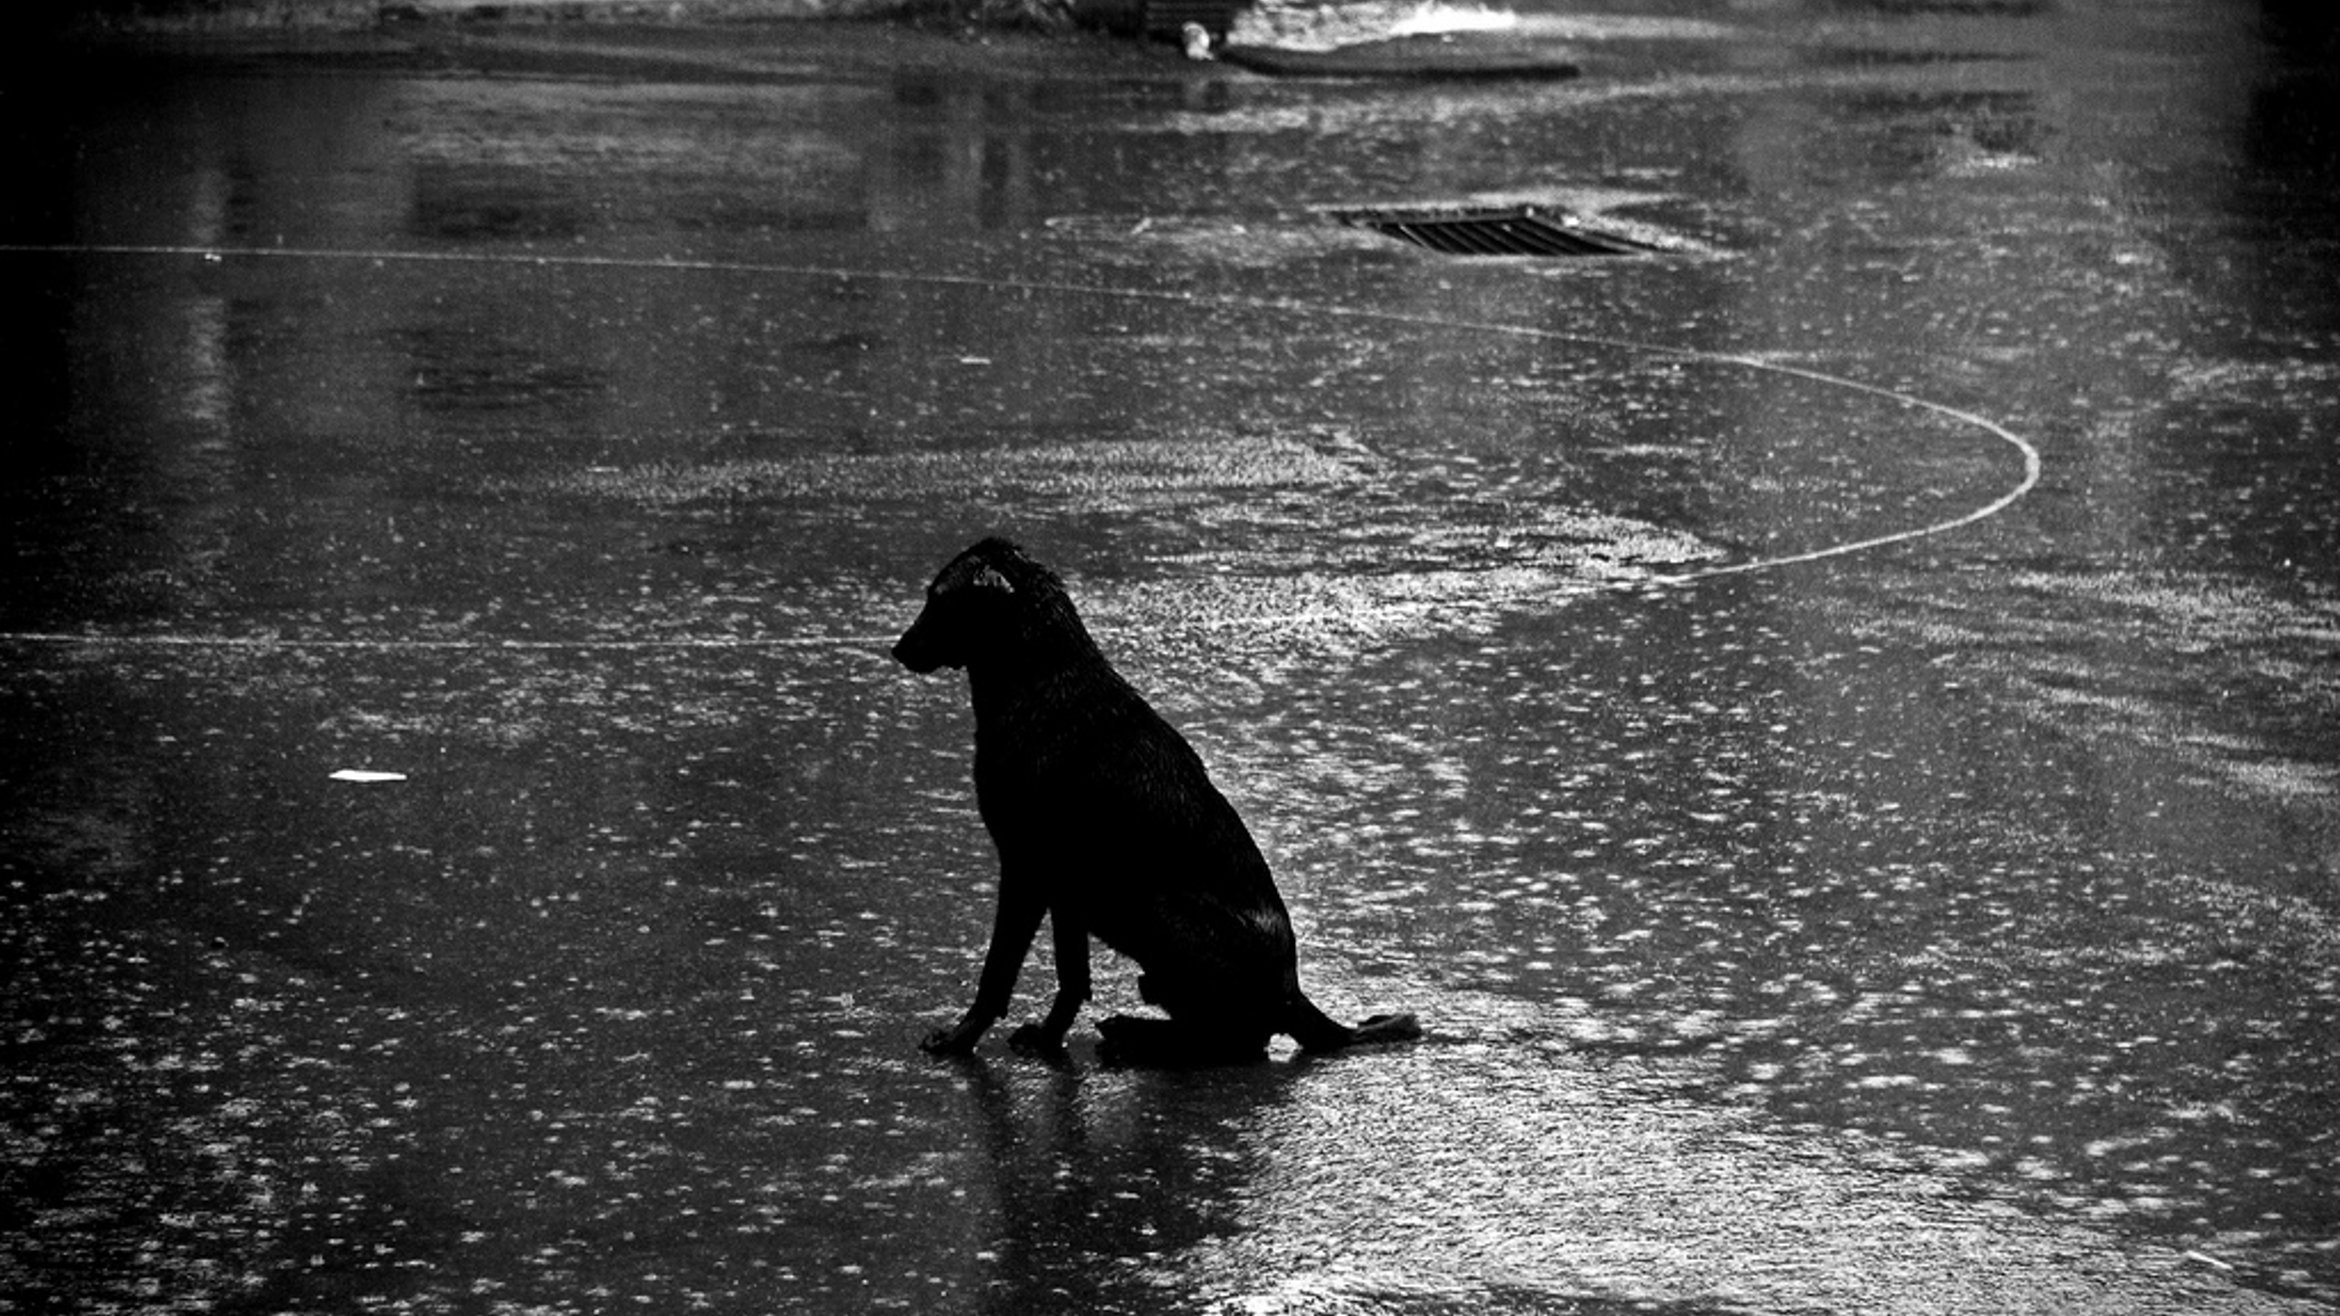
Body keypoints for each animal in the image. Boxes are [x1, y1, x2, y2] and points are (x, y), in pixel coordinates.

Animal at [889, 538, 1404, 1058]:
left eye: (938, 600)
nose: (898, 649)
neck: (1038, 680)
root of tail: (1292, 995)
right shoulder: (1064, 882)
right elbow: (1072, 977)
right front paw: (1048, 1037)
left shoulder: (1025, 865)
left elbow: (997, 972)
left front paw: (959, 1039)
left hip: (1157, 908)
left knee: (1233, 1038)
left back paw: (1134, 1037)